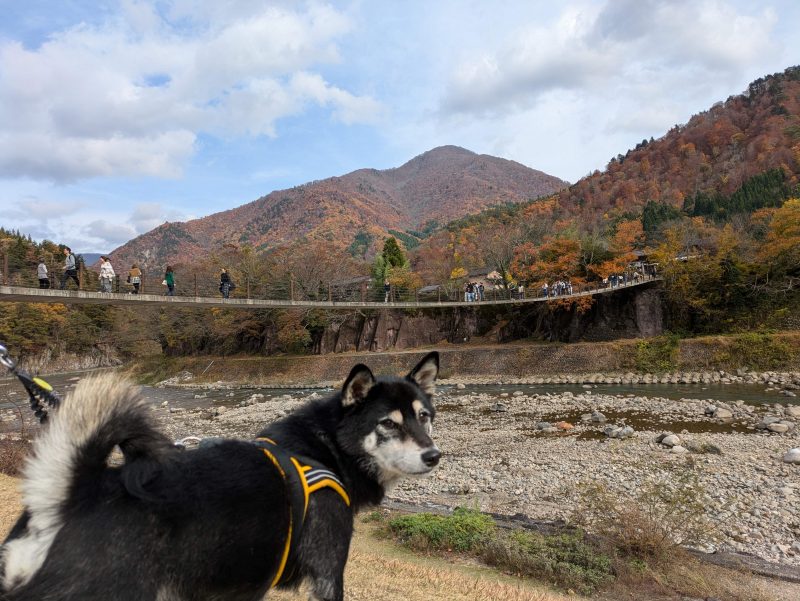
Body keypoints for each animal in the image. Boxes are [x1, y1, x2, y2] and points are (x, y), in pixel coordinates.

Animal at [0, 352, 440, 600]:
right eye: (388, 424)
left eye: (424, 417)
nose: (434, 455)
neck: (322, 450)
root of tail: (69, 497)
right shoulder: (328, 573)